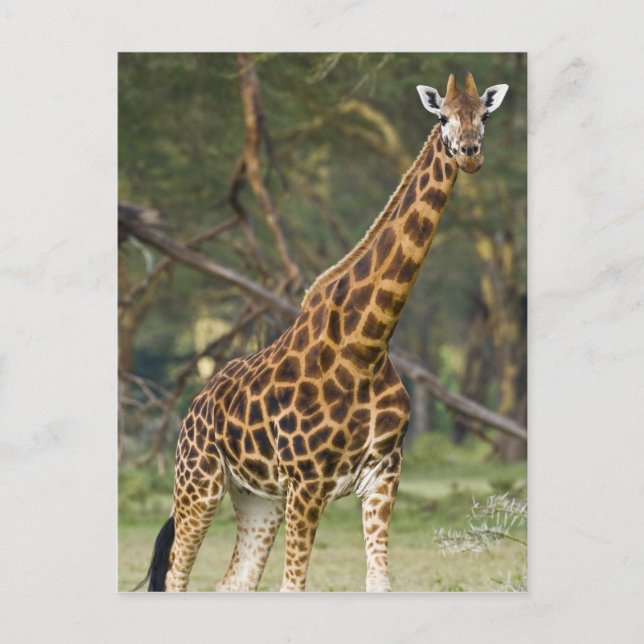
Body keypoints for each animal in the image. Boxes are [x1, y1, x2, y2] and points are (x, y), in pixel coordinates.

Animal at [138, 72, 509, 593]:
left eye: (485, 115)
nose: (471, 153)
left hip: (257, 497)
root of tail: (194, 405)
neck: (367, 345)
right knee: (175, 576)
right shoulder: (307, 484)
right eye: (442, 117)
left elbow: (378, 582)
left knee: (233, 582)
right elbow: (294, 584)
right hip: (199, 482)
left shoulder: (383, 476)